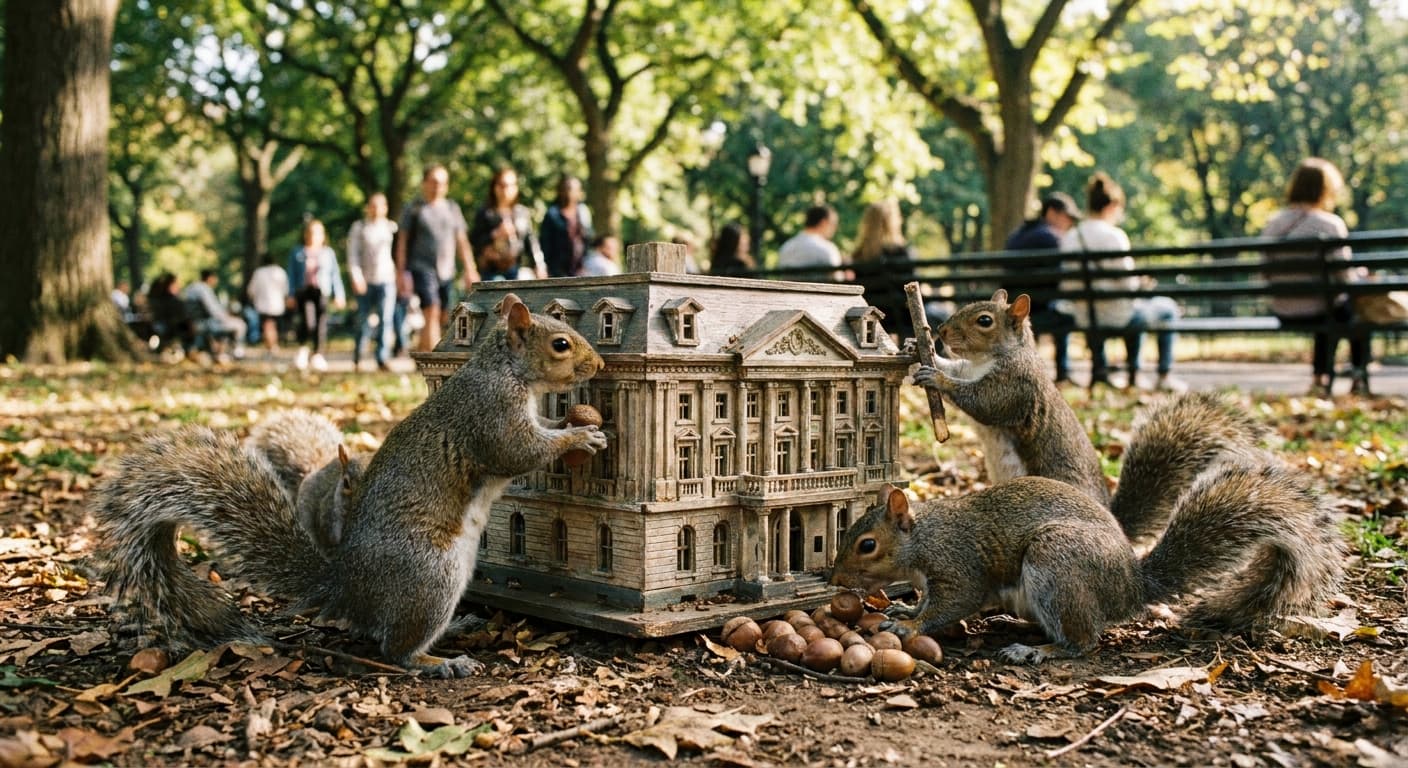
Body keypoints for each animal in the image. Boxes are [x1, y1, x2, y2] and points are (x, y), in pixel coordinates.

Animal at [92, 293, 607, 677]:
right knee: (393, 648)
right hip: (430, 577)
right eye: (561, 343)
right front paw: (579, 435)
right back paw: (440, 662)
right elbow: (519, 451)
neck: (504, 370)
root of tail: (345, 584)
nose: (600, 365)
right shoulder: (490, 415)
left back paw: (457, 627)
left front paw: (572, 421)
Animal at [831, 398, 1343, 662]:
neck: (923, 537)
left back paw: (1035, 650)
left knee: (1082, 643)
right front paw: (906, 607)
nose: (833, 578)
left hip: (1057, 563)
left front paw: (909, 623)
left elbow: (952, 602)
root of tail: (1131, 586)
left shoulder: (958, 566)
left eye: (867, 545)